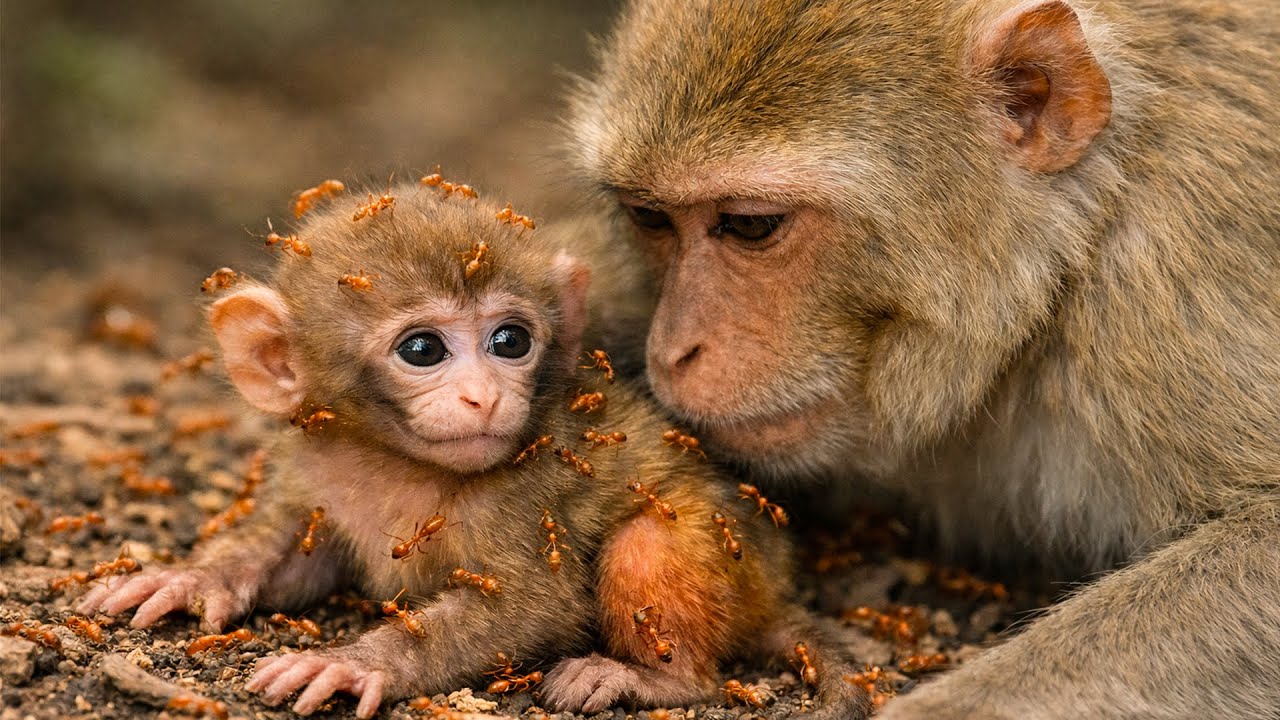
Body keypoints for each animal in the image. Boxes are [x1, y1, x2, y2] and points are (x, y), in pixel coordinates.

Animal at [76, 182, 864, 719]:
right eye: (422, 350)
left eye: (510, 340)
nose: (484, 397)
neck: (395, 462)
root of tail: (776, 591)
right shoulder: (315, 468)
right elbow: (299, 556)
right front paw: (193, 576)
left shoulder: (522, 493)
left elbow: (531, 608)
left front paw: (355, 664)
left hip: (740, 566)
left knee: (649, 543)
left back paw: (654, 677)